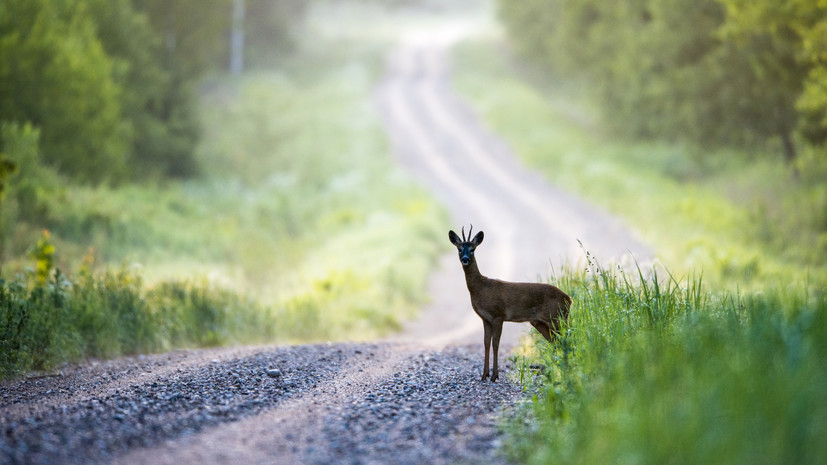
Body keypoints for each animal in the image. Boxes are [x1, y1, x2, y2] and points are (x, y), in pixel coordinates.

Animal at [450, 225, 572, 380]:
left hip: (557, 317)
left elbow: (496, 344)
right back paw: (552, 370)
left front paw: (494, 376)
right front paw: (484, 375)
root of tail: (569, 299)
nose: (465, 259)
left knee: (566, 337)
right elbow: (486, 343)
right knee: (555, 340)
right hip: (540, 322)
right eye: (459, 249)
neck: (480, 288)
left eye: (472, 249)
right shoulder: (485, 318)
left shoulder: (498, 315)